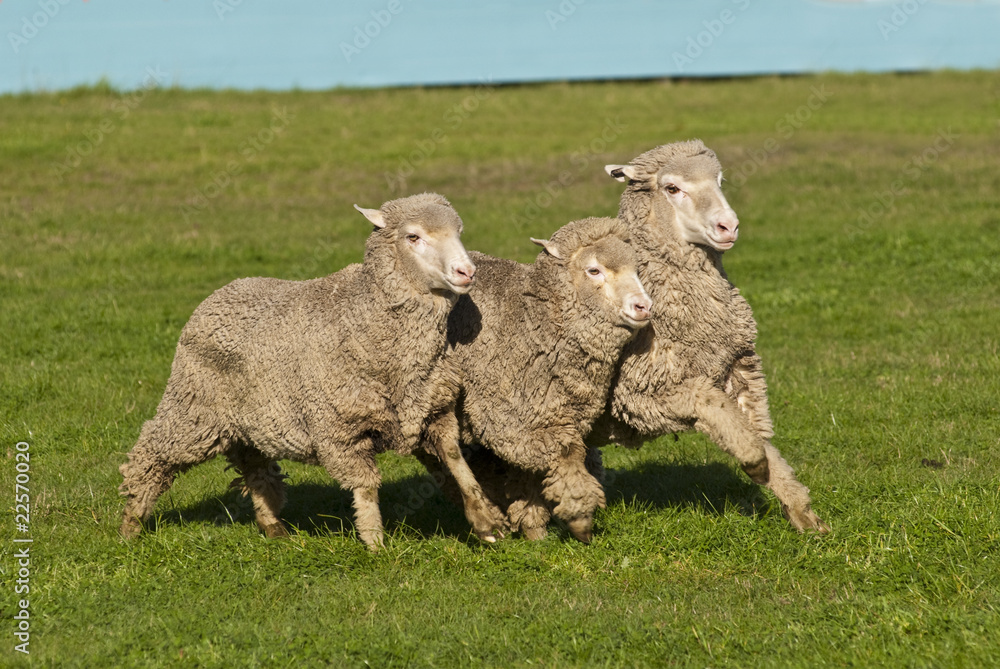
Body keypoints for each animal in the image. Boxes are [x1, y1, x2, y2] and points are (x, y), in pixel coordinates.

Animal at [118, 193, 509, 549]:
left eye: (458, 232)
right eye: (413, 237)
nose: (466, 272)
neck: (367, 316)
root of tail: (224, 290)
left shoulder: (435, 408)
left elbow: (457, 460)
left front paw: (486, 520)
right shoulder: (341, 429)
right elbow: (366, 486)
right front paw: (375, 545)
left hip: (249, 418)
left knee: (254, 465)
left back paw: (272, 525)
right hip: (193, 408)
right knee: (152, 453)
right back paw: (131, 523)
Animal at [415, 216, 652, 543]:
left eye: (637, 270)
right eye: (594, 270)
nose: (644, 307)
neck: (533, 321)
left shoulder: (544, 414)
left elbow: (526, 472)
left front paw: (533, 526)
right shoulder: (513, 416)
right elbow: (566, 454)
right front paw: (580, 519)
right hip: (432, 385)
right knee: (445, 446)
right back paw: (484, 518)